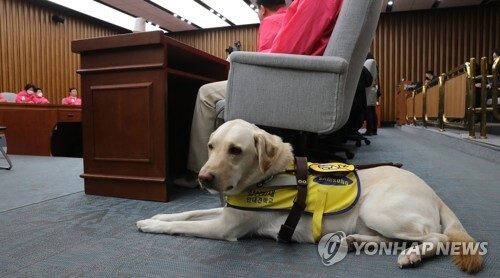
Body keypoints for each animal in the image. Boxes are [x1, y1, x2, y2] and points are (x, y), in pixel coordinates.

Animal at [139, 119, 482, 272]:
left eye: (235, 150)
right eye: (211, 146)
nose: (203, 177)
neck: (267, 176)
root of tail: (435, 195)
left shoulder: (226, 227)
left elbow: (183, 225)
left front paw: (152, 225)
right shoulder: (227, 213)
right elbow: (184, 214)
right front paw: (156, 215)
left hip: (377, 209)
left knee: (438, 238)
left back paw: (413, 254)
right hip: (371, 218)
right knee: (391, 238)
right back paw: (356, 242)